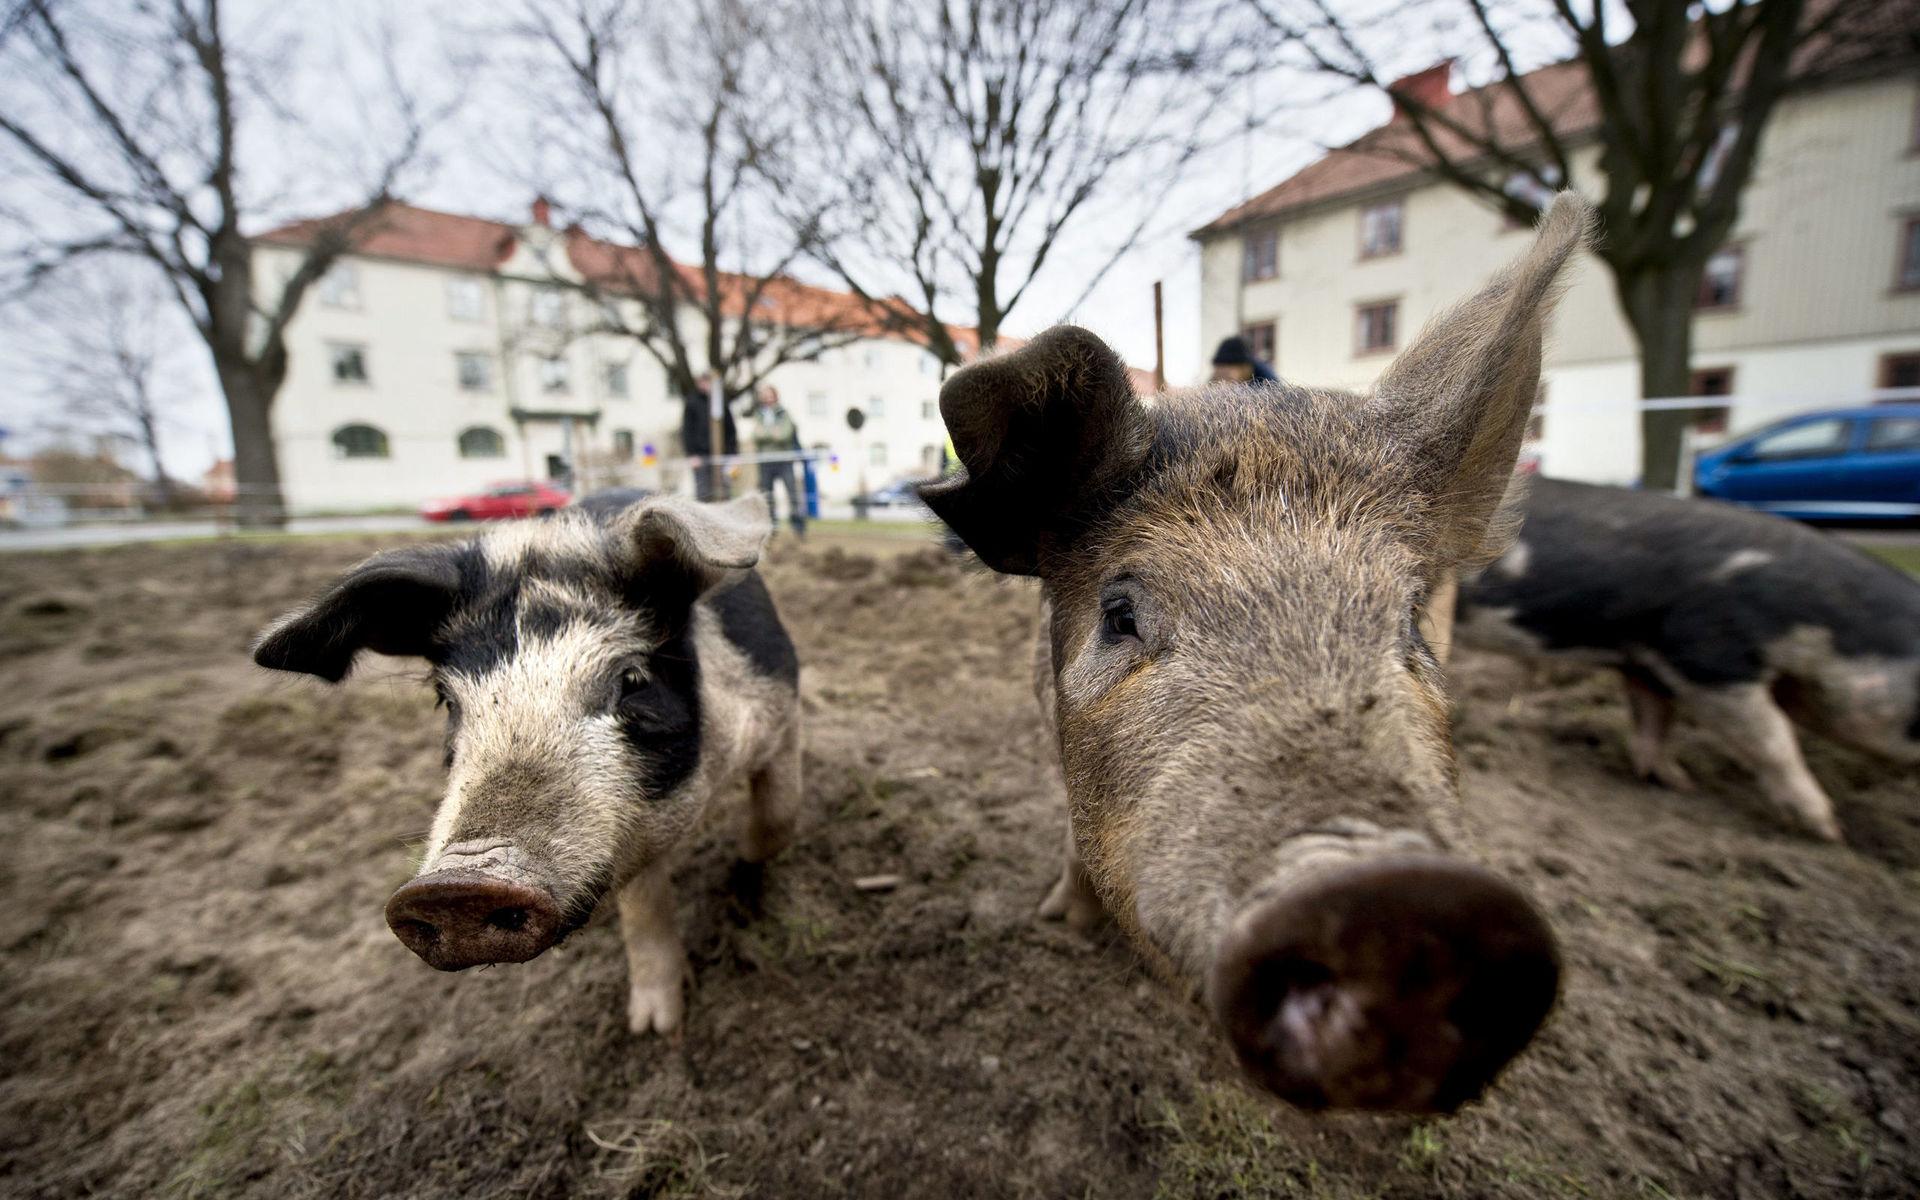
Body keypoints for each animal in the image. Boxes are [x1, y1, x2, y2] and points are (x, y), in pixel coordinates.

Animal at [249, 491, 802, 1036]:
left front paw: (744, 867)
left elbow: (777, 818)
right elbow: (644, 907)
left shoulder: (781, 708)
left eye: (633, 679)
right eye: (447, 701)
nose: (458, 884)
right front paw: (654, 1027)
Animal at [1451, 478, 1920, 840]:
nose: (1835, 830)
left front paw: (1678, 783)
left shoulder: (1644, 664)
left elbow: (1656, 720)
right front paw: (1830, 831)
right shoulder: (1709, 656)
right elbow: (1775, 741)